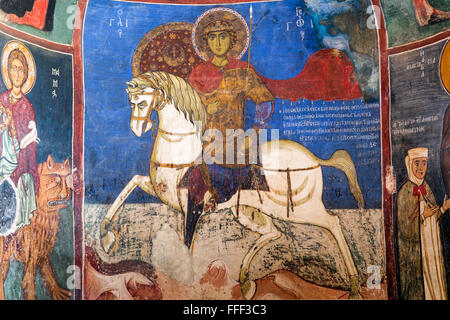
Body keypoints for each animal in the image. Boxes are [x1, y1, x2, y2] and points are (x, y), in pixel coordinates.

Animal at [101, 71, 366, 298]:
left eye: (141, 103)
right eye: (131, 102)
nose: (137, 128)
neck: (182, 151)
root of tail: (312, 158)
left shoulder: (192, 207)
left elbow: (186, 245)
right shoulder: (165, 194)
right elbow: (131, 183)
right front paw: (105, 236)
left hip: (297, 208)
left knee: (332, 223)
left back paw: (354, 288)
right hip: (248, 211)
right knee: (273, 233)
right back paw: (246, 281)